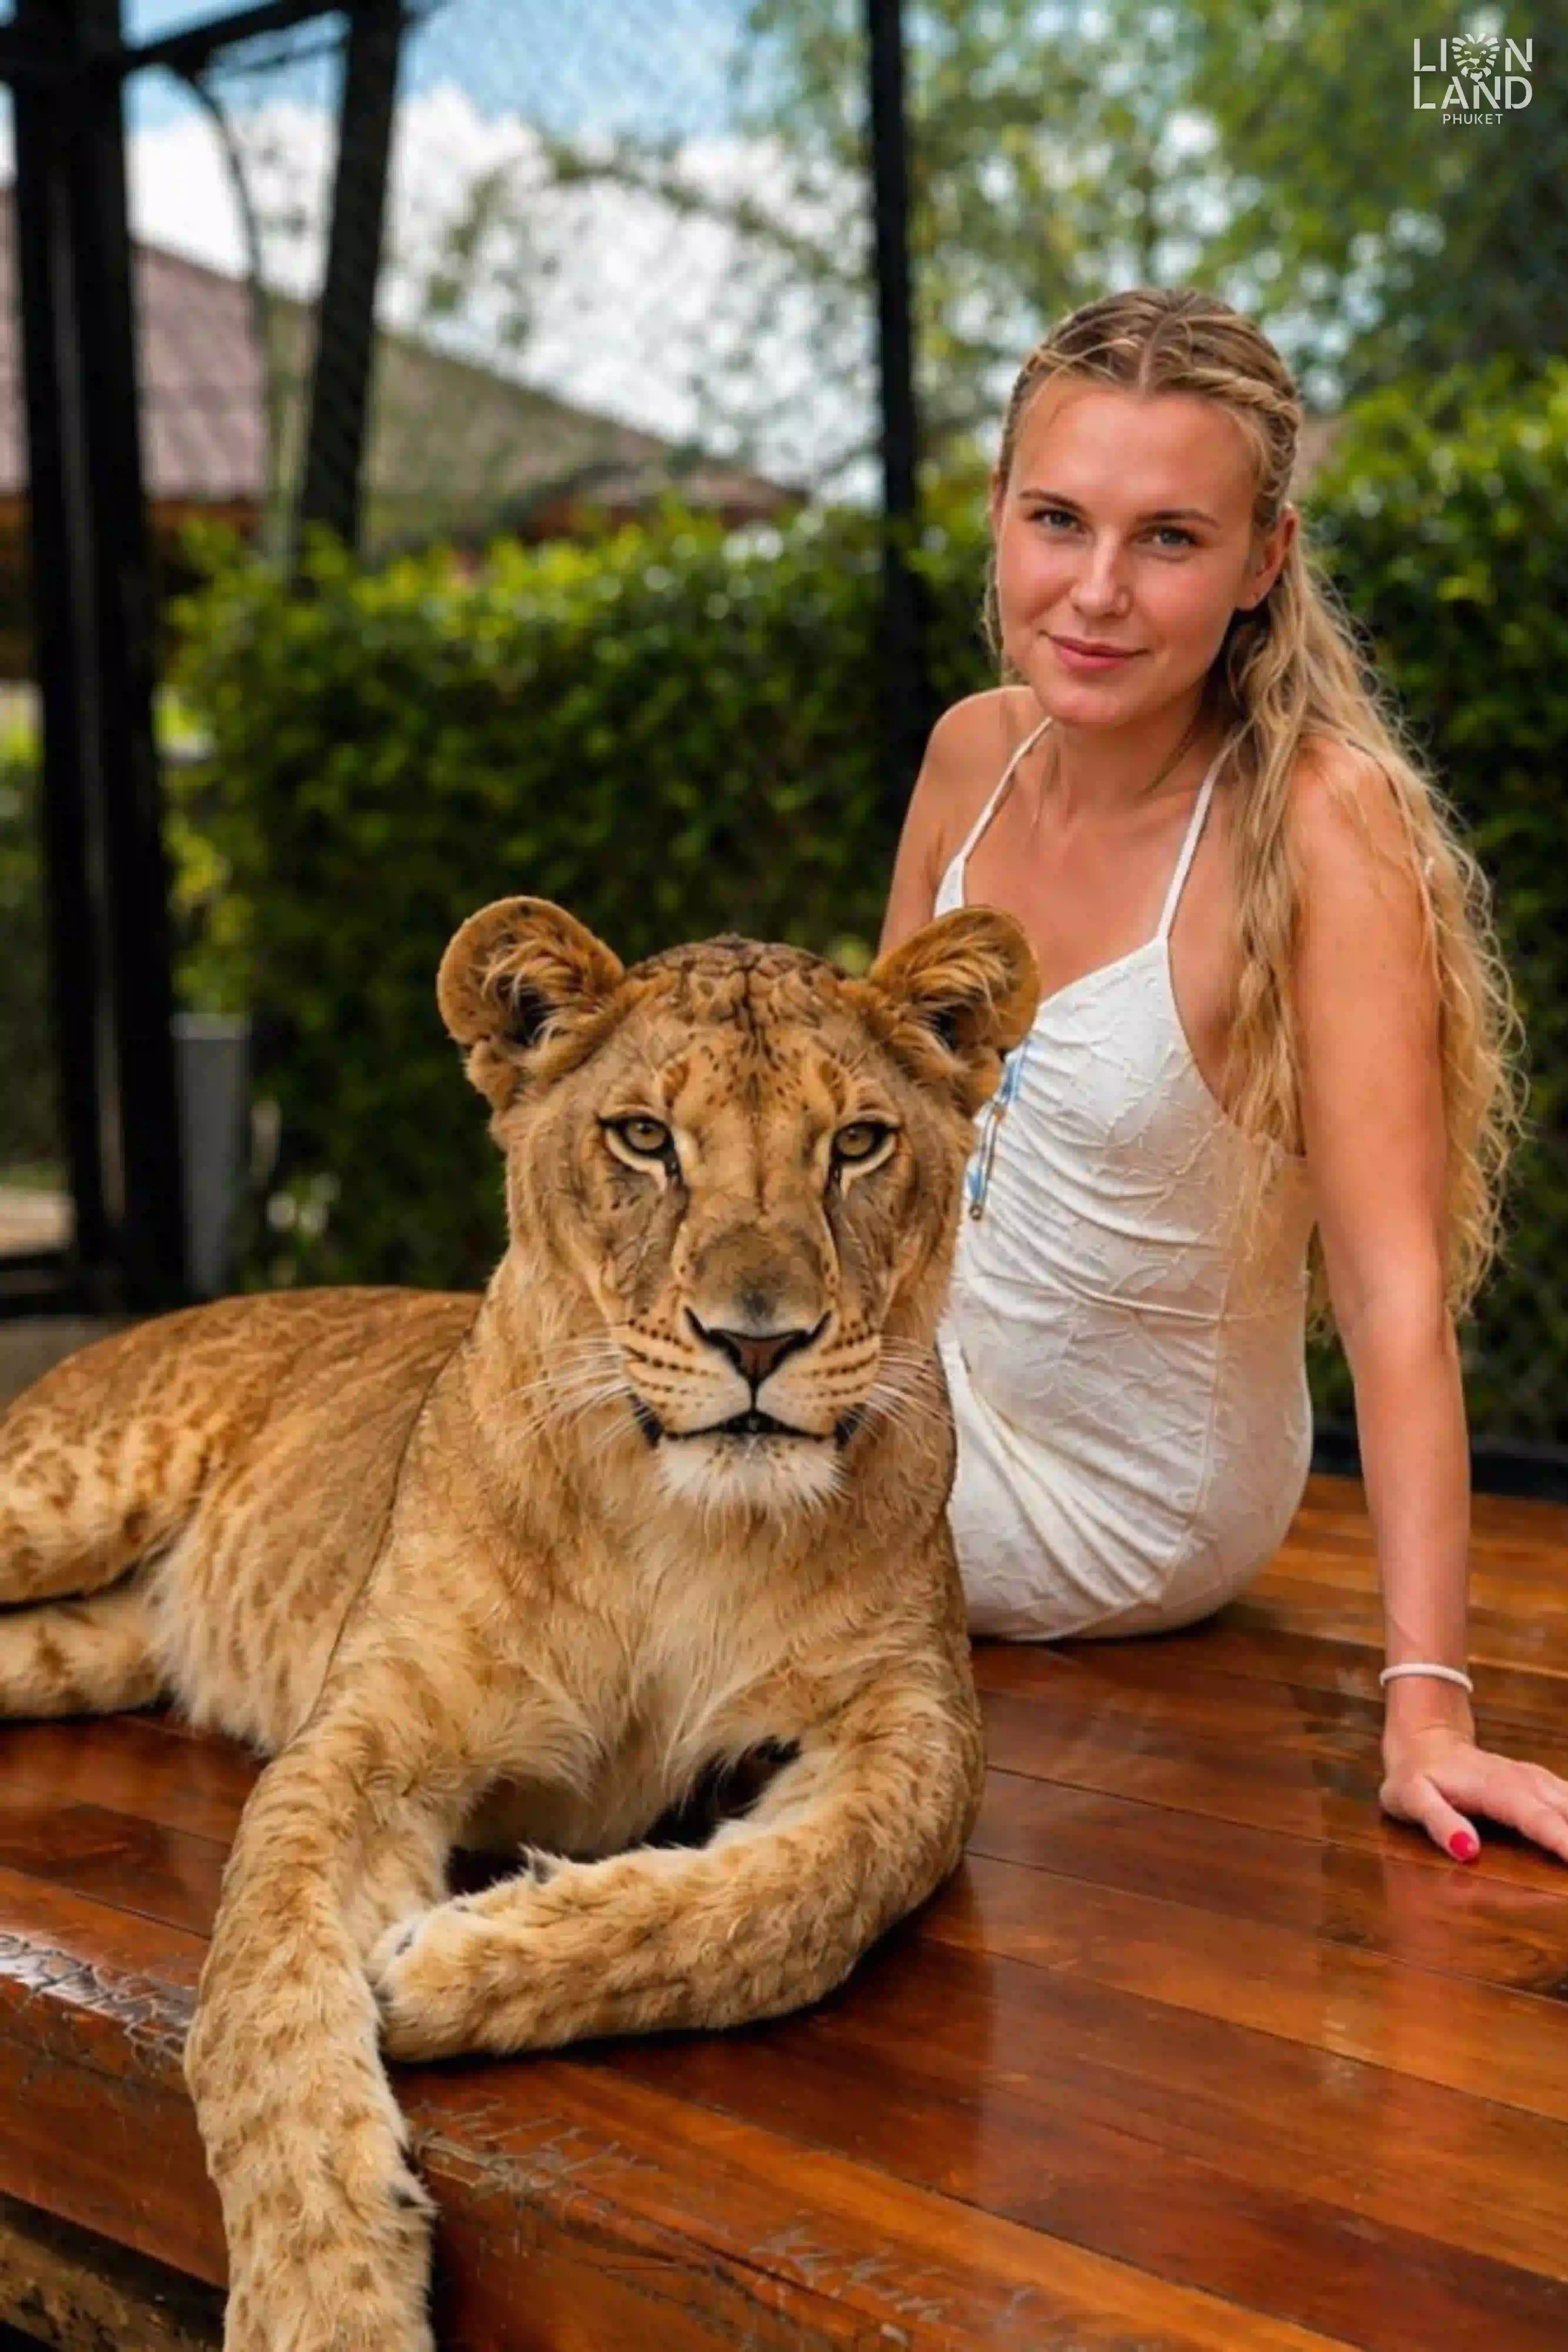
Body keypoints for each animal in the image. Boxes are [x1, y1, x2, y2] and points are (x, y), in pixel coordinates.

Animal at [0, 894, 1037, 2352]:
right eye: (645, 1139)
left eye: (857, 1144)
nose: (757, 1342)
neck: (675, 1524)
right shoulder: (364, 1740)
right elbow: (261, 1998)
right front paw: (326, 2297)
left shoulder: (918, 1729)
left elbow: (797, 1899)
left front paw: (457, 1965)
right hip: (68, 1491)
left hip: (83, 1647)